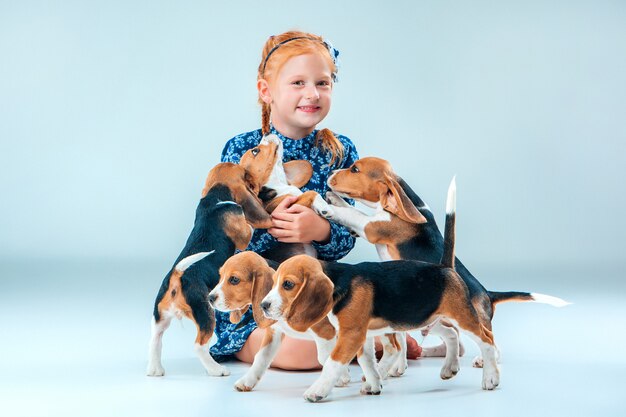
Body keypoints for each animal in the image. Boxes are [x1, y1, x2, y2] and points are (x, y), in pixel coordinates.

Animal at [149, 162, 272, 376]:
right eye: (245, 174)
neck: (215, 197)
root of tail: (177, 276)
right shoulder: (243, 233)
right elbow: (248, 228)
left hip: (160, 316)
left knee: (155, 337)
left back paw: (155, 369)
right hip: (206, 313)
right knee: (199, 345)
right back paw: (216, 370)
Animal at [206, 250, 348, 390]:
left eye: (234, 279)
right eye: (220, 276)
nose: (210, 298)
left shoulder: (325, 331)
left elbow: (326, 357)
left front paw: (340, 377)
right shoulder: (273, 332)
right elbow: (261, 357)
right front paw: (247, 381)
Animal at [260, 179, 564, 400]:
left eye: (288, 285)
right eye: (274, 282)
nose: (263, 306)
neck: (340, 280)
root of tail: (444, 267)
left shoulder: (351, 334)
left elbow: (334, 362)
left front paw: (318, 391)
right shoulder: (363, 335)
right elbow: (368, 360)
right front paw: (373, 384)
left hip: (463, 317)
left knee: (487, 340)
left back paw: (490, 377)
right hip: (428, 318)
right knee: (452, 337)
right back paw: (448, 368)